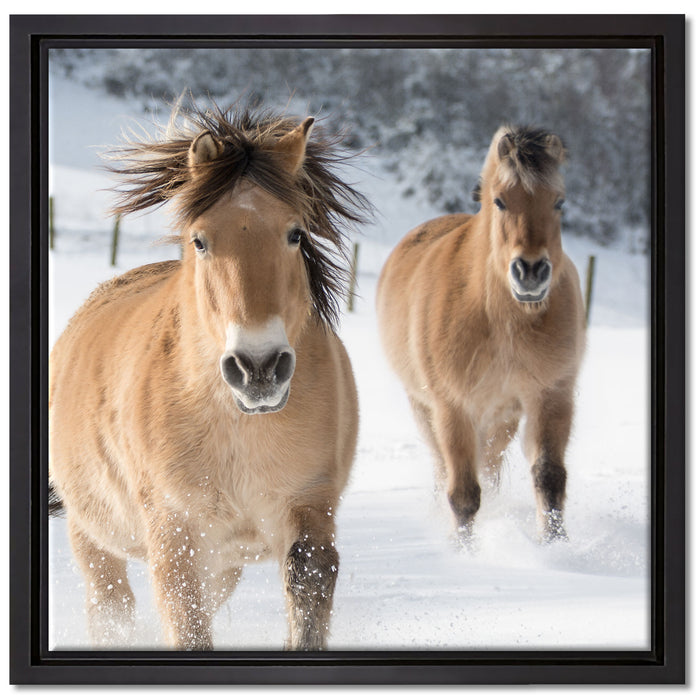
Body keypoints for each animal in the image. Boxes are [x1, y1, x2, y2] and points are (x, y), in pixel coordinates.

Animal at [48, 100, 371, 651]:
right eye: (199, 240)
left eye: (296, 233)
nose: (258, 368)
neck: (237, 427)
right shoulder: (175, 535)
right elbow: (187, 626)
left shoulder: (308, 508)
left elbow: (306, 596)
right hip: (94, 536)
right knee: (111, 606)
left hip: (224, 564)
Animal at [376, 125, 585, 544]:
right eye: (500, 201)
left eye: (559, 202)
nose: (531, 272)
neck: (501, 321)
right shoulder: (453, 408)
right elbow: (463, 494)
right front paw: (464, 550)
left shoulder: (551, 395)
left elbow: (549, 477)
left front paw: (556, 546)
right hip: (425, 408)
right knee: (445, 470)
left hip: (501, 416)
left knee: (489, 467)